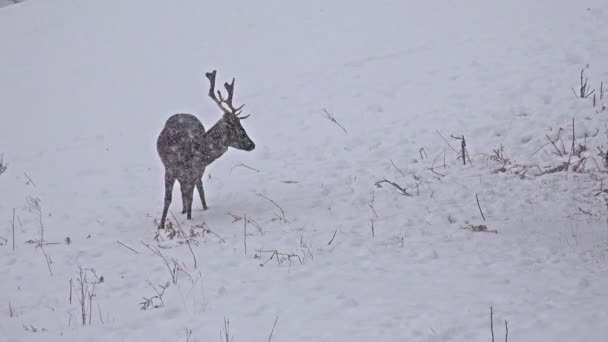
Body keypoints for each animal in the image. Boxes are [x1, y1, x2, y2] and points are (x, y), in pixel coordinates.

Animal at [157, 70, 254, 228]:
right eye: (239, 129)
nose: (252, 144)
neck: (191, 152)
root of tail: (183, 112)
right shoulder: (169, 169)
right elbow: (168, 199)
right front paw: (161, 225)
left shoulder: (195, 173)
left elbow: (190, 198)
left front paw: (189, 219)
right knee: (184, 190)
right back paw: (184, 210)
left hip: (197, 174)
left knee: (198, 188)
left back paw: (203, 208)